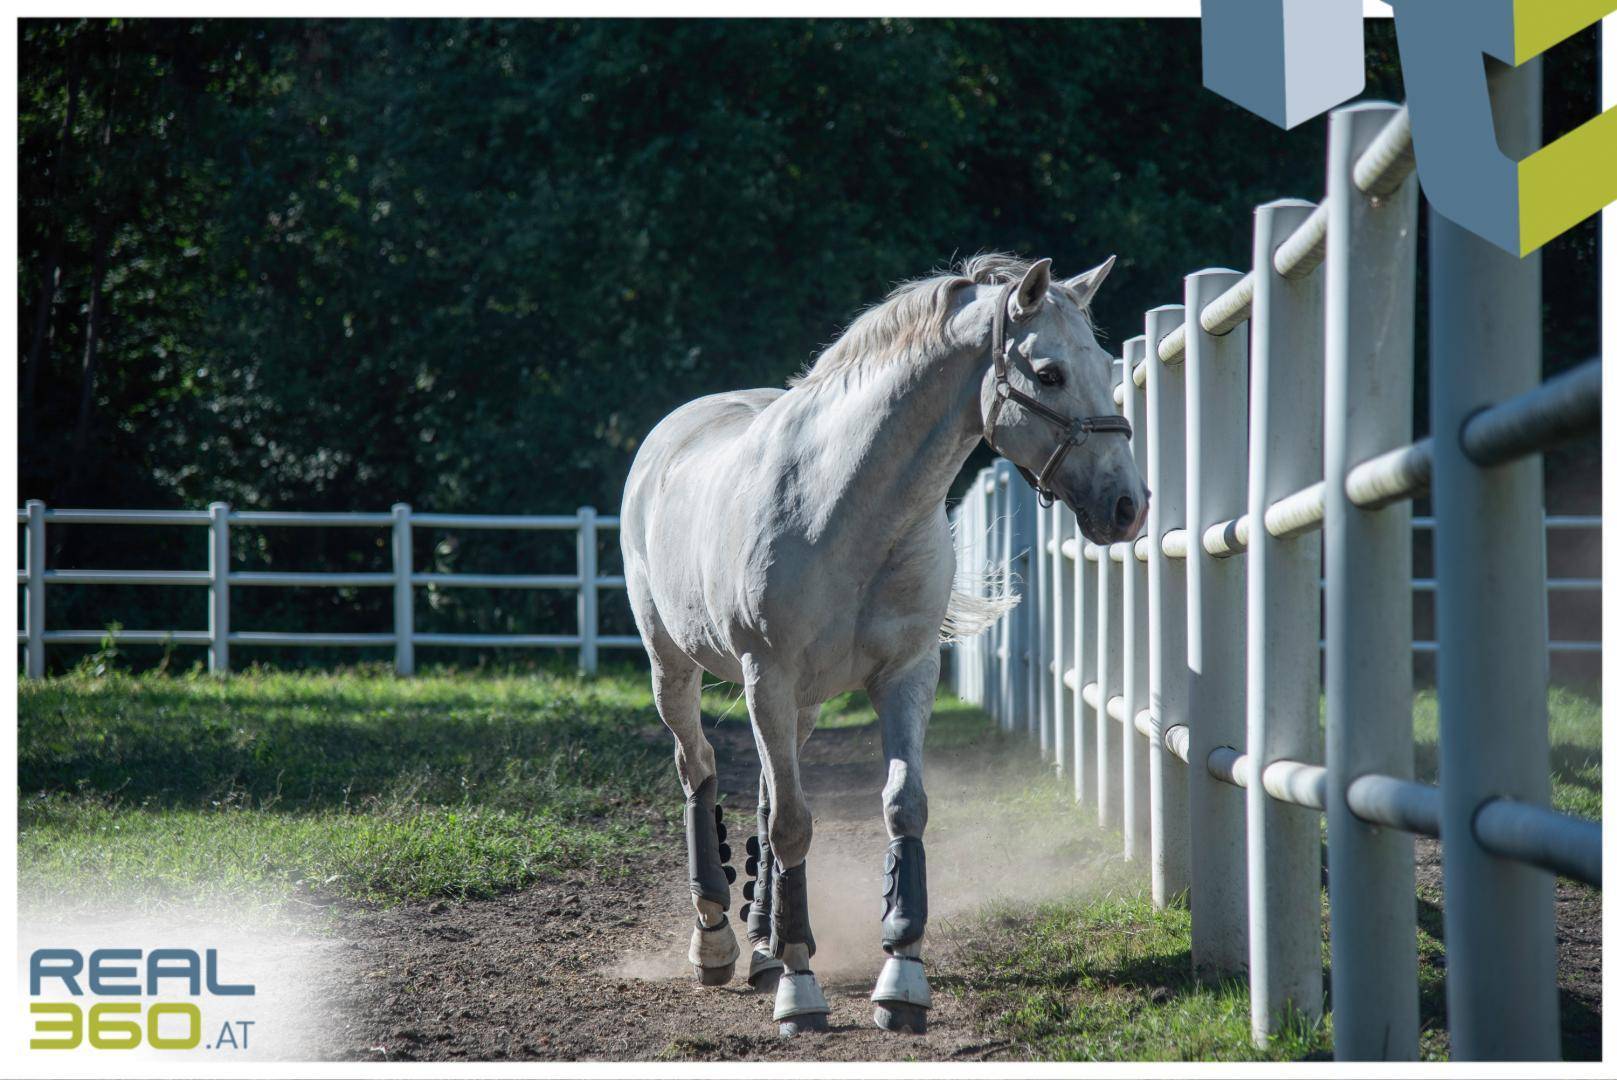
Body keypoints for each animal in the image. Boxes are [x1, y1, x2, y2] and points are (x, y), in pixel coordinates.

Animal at [617, 253, 1151, 1034]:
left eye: (1108, 366)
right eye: (1049, 374)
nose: (1127, 506)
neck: (844, 507)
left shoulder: (904, 675)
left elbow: (900, 806)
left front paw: (899, 976)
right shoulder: (768, 676)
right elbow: (794, 827)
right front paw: (799, 990)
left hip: (800, 706)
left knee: (767, 799)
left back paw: (764, 945)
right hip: (675, 669)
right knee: (702, 771)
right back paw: (717, 942)